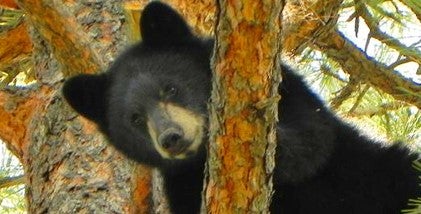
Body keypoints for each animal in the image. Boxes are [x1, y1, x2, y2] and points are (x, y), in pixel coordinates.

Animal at [62, 2, 416, 214]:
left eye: (171, 88)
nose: (171, 138)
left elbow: (311, 143)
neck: (201, 159)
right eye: (135, 118)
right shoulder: (180, 183)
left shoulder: (289, 91)